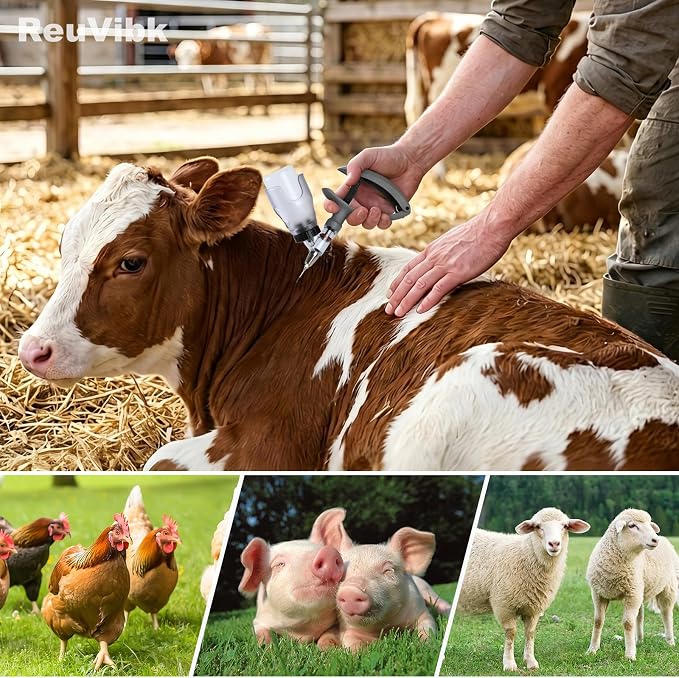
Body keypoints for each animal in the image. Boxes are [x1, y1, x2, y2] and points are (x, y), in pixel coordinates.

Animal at [238, 509, 345, 648]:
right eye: (279, 564)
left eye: (321, 549)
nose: (329, 553)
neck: (301, 630)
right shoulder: (258, 620)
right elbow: (261, 633)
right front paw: (268, 648)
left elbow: (330, 633)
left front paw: (325, 648)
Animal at [458, 507, 590, 672]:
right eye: (538, 526)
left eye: (565, 526)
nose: (554, 544)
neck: (526, 554)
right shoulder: (504, 605)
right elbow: (511, 634)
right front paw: (509, 664)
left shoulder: (534, 608)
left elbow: (530, 633)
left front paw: (531, 662)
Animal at [586, 508, 678, 661]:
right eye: (632, 526)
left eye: (649, 524)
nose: (655, 540)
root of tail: (665, 539)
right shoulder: (599, 594)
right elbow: (598, 621)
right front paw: (592, 649)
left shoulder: (631, 594)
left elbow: (628, 623)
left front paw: (629, 655)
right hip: (640, 590)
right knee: (640, 616)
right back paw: (638, 640)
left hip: (667, 588)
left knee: (667, 614)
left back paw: (670, 641)